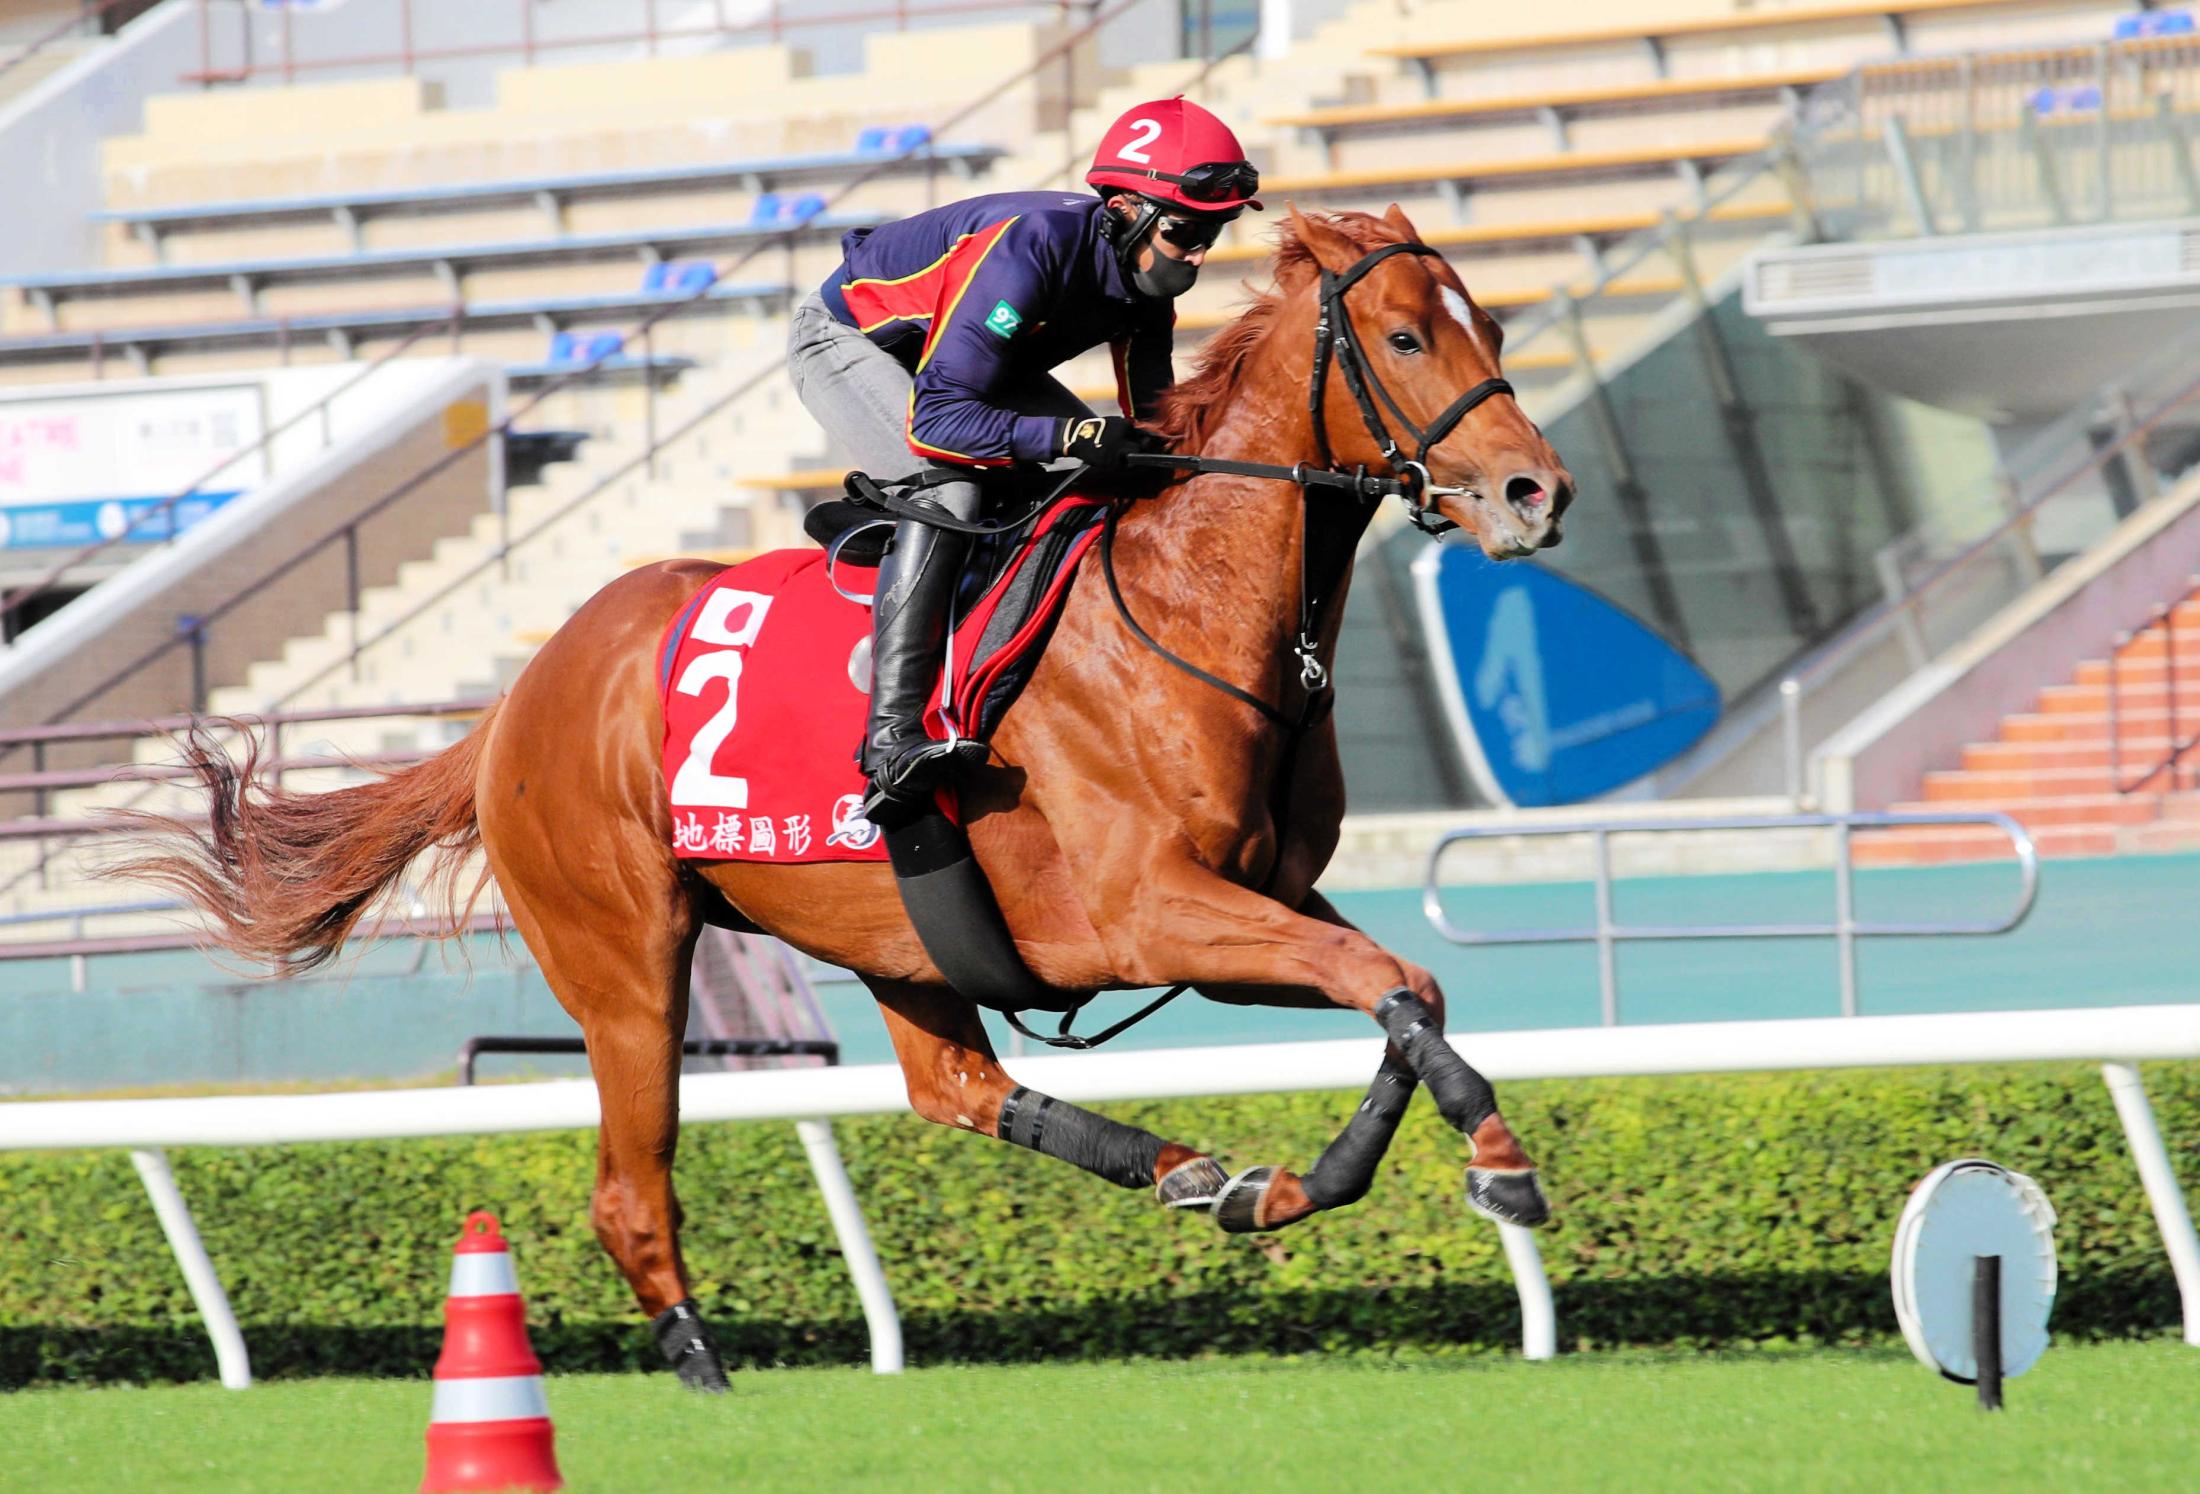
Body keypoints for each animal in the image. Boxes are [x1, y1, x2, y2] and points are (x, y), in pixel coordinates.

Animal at [120, 207, 1575, 1390]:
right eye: (1403, 335)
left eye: (1492, 325)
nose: (1536, 491)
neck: (1186, 612)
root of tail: (517, 697)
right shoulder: (1150, 912)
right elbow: (1386, 978)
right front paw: (1496, 1159)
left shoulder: (1261, 895)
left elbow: (1401, 982)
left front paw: (1306, 1181)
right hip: (625, 961)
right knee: (629, 1188)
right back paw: (701, 1363)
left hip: (899, 934)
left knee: (954, 1089)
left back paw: (1185, 1170)